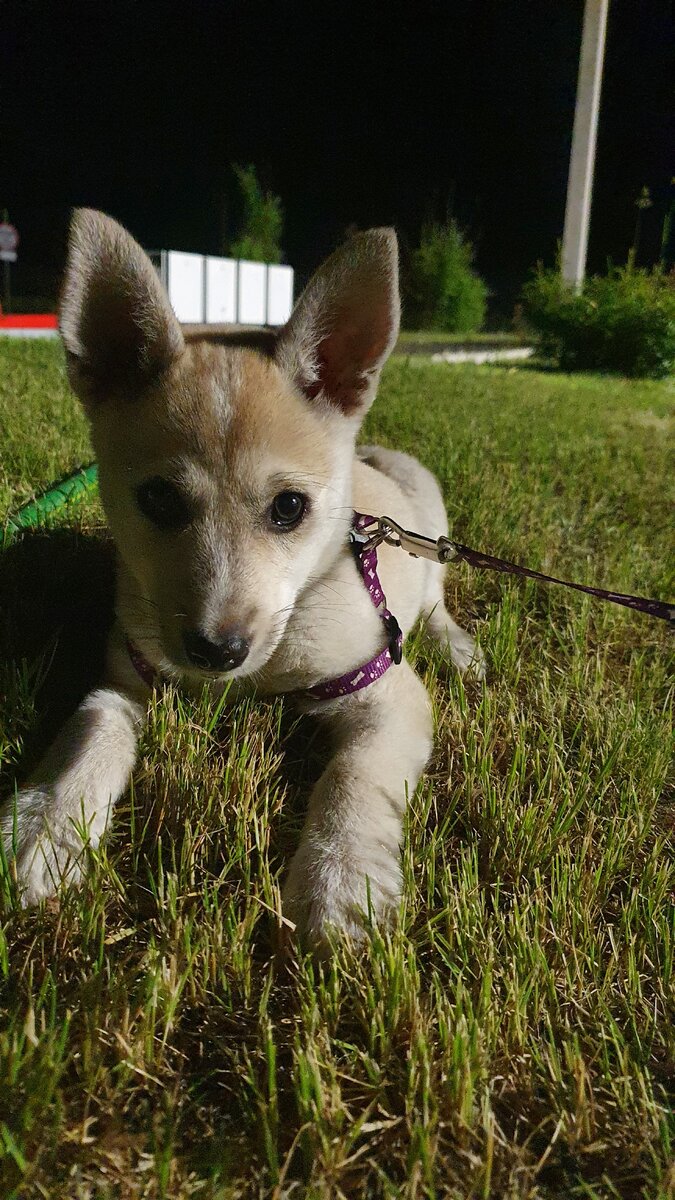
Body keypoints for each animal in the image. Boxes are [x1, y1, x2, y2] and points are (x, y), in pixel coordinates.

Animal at [1, 213, 482, 945]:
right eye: (158, 500)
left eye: (289, 508)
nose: (215, 652)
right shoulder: (126, 677)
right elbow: (91, 733)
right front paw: (47, 824)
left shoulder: (387, 692)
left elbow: (354, 775)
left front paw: (342, 880)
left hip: (430, 520)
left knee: (435, 603)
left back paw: (458, 649)